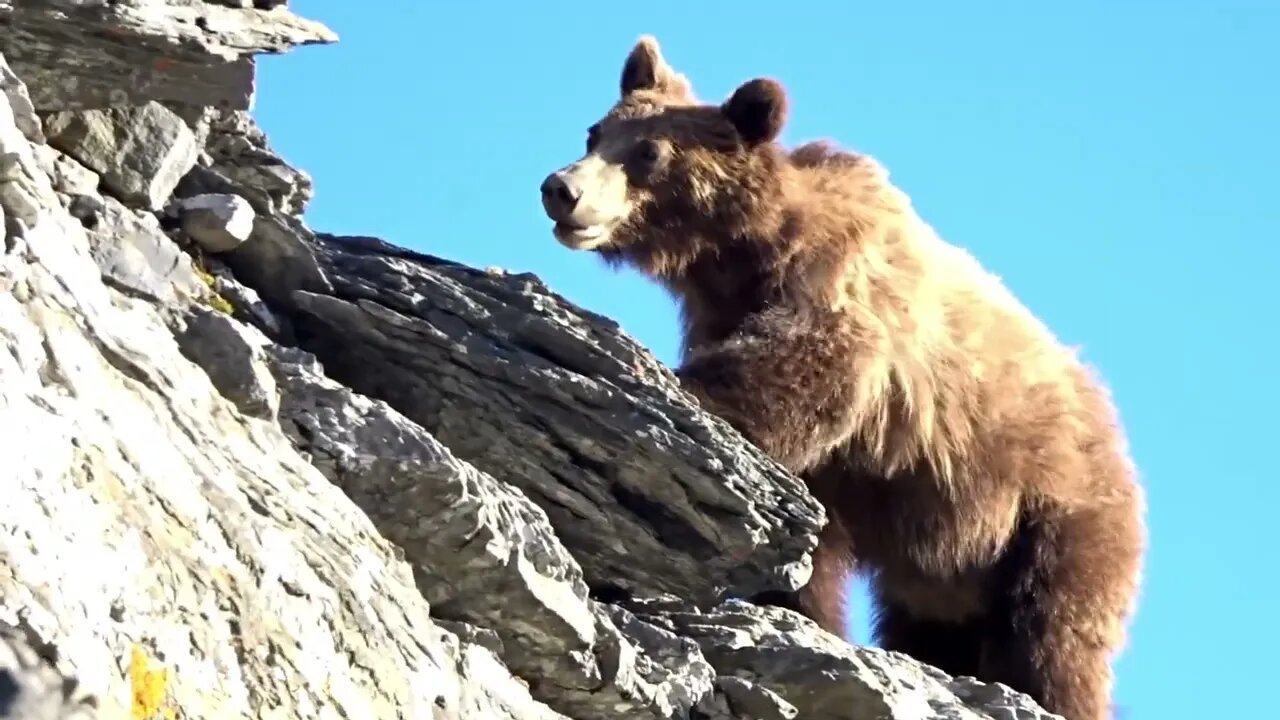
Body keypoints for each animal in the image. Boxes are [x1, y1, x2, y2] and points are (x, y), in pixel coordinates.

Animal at [535, 36, 1146, 717]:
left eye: (649, 151)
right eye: (595, 133)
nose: (561, 189)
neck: (739, 260)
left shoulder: (842, 290)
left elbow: (801, 371)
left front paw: (677, 389)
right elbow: (810, 544)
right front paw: (803, 611)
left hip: (1053, 509)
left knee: (1053, 633)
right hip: (943, 563)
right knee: (935, 628)